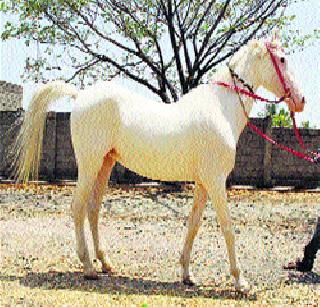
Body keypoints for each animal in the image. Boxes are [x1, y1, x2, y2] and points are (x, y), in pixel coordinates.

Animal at [13, 33, 304, 292]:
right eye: (282, 59)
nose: (300, 101)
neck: (220, 108)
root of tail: (80, 96)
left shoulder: (203, 183)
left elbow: (193, 225)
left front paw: (187, 275)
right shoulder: (215, 180)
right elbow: (228, 227)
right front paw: (240, 282)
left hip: (104, 164)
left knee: (93, 210)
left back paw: (106, 264)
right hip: (89, 165)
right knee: (78, 208)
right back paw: (88, 268)